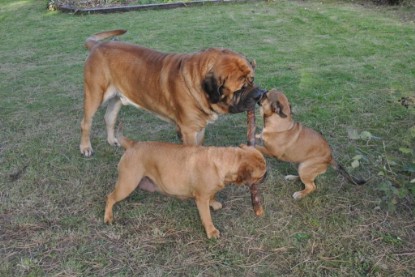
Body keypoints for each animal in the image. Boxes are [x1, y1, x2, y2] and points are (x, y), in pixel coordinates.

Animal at [79, 29, 264, 156]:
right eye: (240, 89)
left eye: (252, 79)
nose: (260, 94)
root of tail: (97, 45)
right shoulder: (188, 130)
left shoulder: (199, 127)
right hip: (94, 94)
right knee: (86, 122)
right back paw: (86, 147)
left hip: (117, 98)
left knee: (109, 117)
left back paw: (113, 141)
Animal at [103, 130, 266, 237]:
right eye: (260, 176)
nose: (267, 176)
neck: (224, 161)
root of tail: (132, 144)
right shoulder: (201, 199)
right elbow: (206, 217)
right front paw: (211, 231)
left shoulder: (208, 192)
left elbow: (212, 195)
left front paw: (214, 203)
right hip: (127, 183)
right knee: (110, 197)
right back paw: (108, 217)